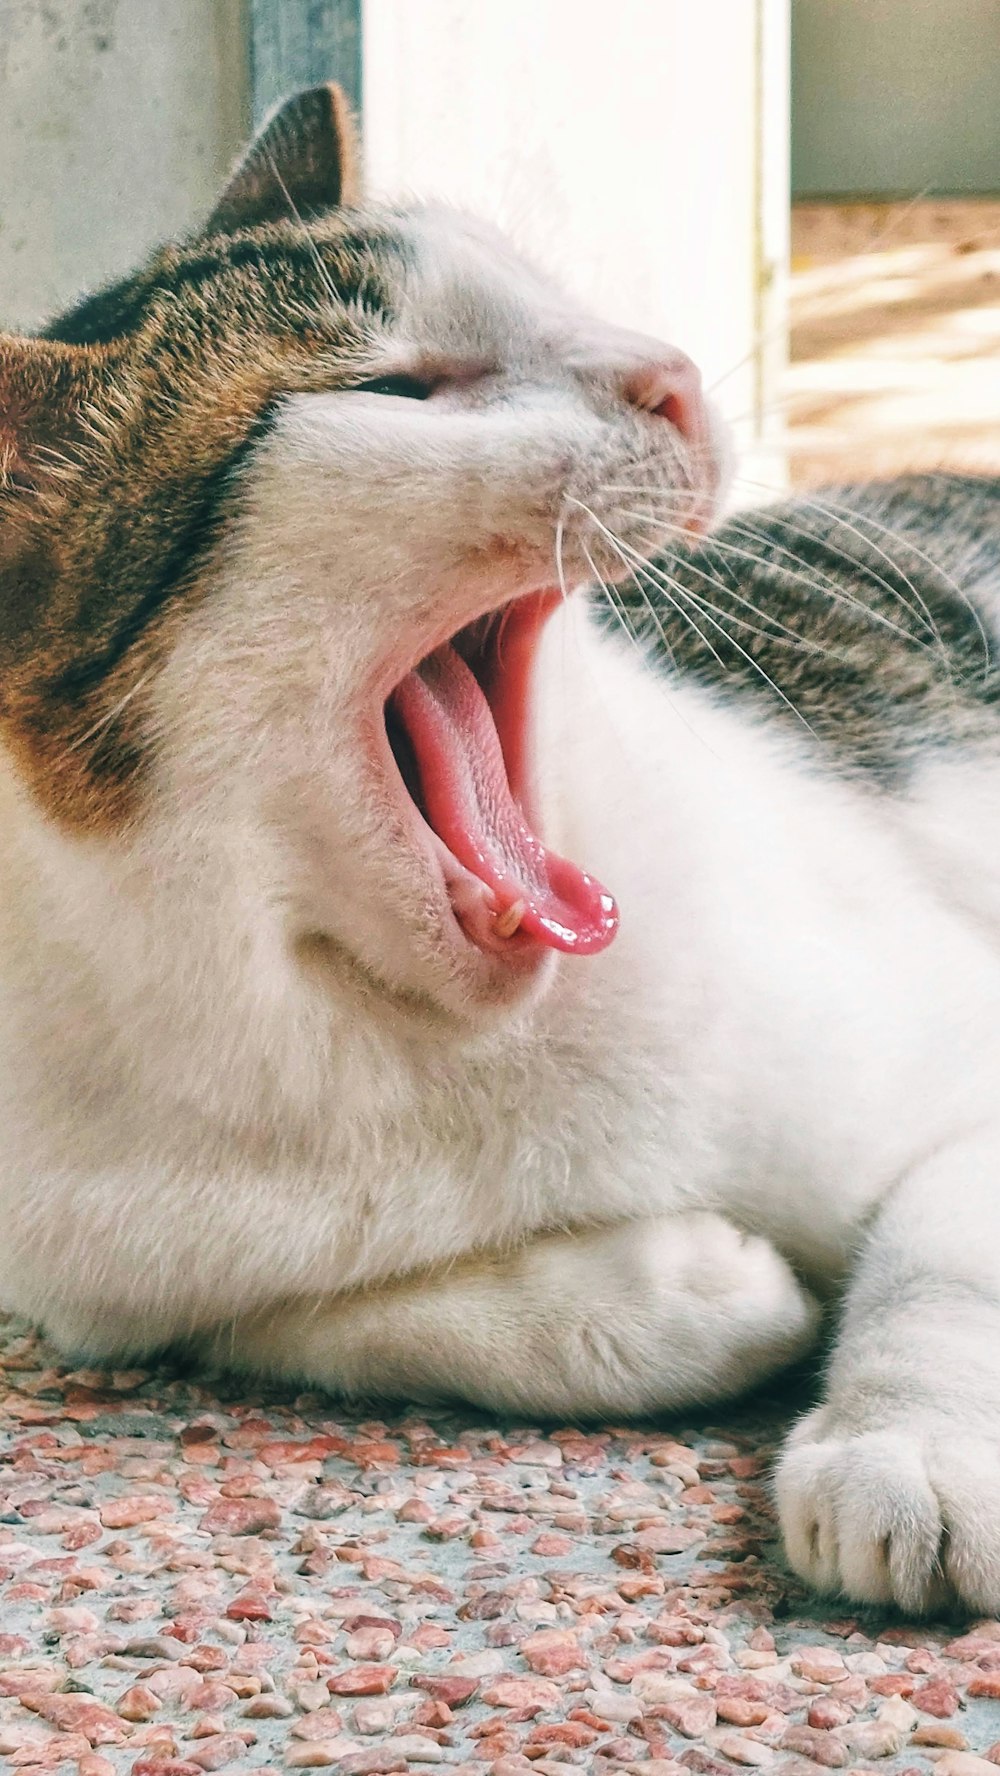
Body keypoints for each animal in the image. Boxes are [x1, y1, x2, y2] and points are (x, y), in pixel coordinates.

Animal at [1, 83, 1000, 1619]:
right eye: (393, 391)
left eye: (556, 299)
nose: (675, 374)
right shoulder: (110, 1287)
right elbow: (312, 1320)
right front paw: (679, 1290)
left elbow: (949, 1262)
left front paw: (910, 1447)